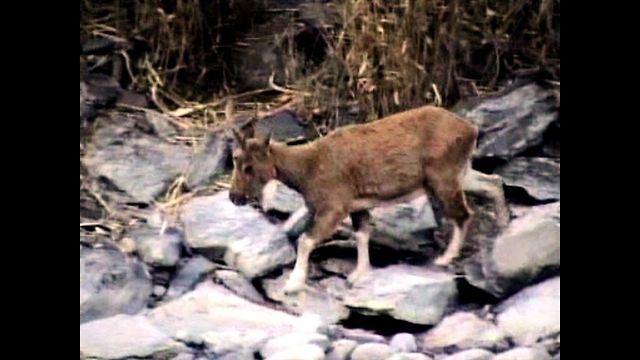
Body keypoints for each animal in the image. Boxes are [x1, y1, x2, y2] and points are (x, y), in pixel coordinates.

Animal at [228, 105, 508, 294]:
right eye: (234, 158)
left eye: (249, 167)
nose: (234, 197)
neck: (308, 169)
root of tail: (471, 130)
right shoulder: (357, 205)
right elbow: (362, 235)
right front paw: (359, 274)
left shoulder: (334, 205)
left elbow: (306, 240)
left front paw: (293, 284)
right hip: (461, 171)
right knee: (492, 182)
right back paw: (503, 224)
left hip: (442, 176)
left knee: (463, 213)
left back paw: (446, 257)